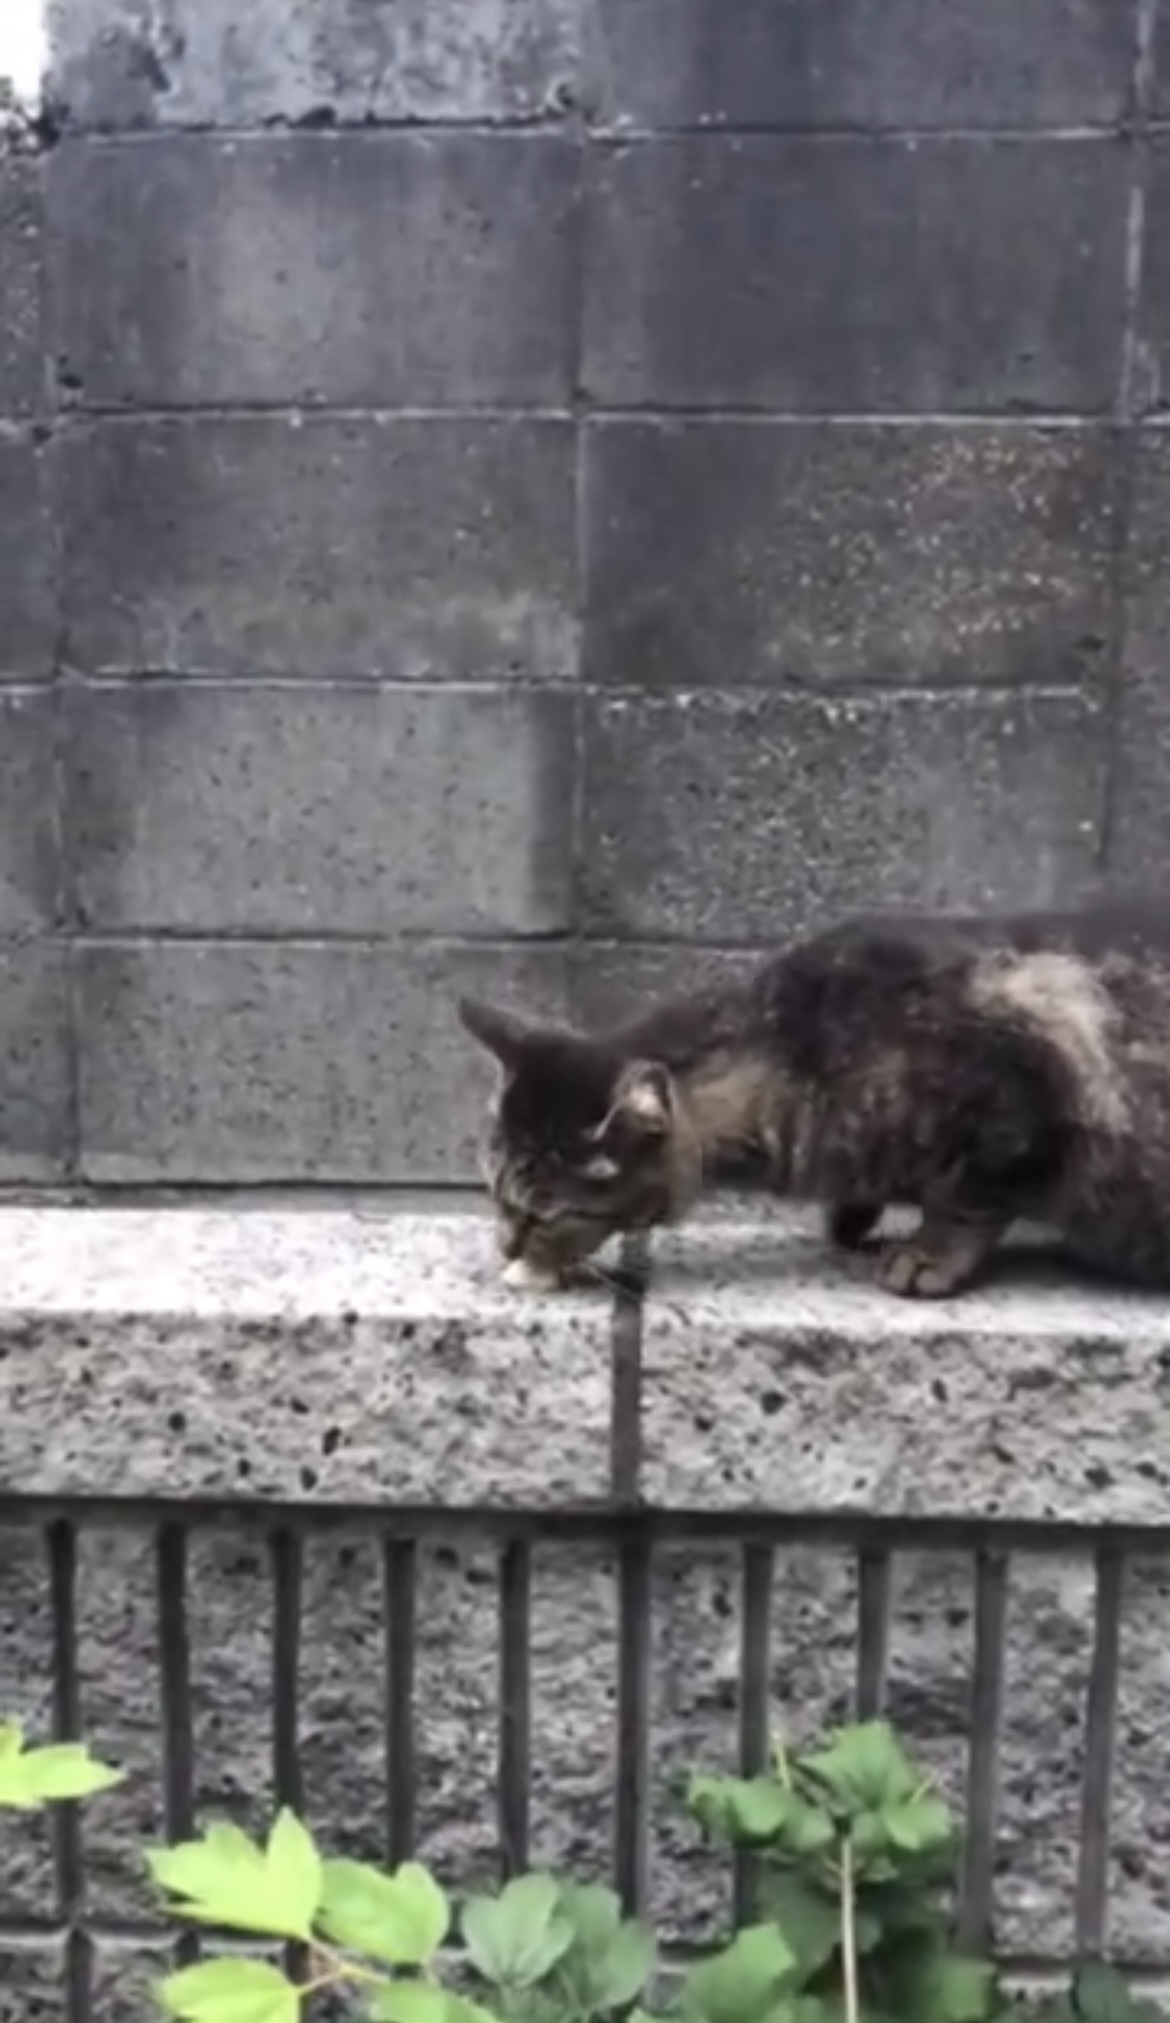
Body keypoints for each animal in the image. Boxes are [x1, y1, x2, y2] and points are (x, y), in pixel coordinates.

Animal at [458, 902, 1170, 1300]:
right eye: (493, 1194)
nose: (507, 1249)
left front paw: (927, 1255)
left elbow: (970, 1198)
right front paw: (851, 1218)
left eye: (545, 1215)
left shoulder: (1023, 1092)